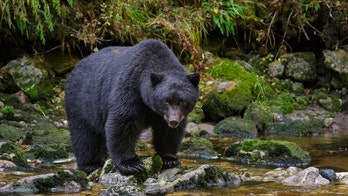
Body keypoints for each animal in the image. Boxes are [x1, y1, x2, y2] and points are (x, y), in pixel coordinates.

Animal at [64, 39, 200, 175]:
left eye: (183, 101)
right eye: (165, 100)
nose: (173, 121)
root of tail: (75, 68)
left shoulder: (163, 115)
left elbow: (167, 131)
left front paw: (169, 158)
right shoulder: (130, 88)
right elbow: (123, 123)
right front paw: (131, 164)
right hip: (81, 102)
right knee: (84, 135)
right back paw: (90, 164)